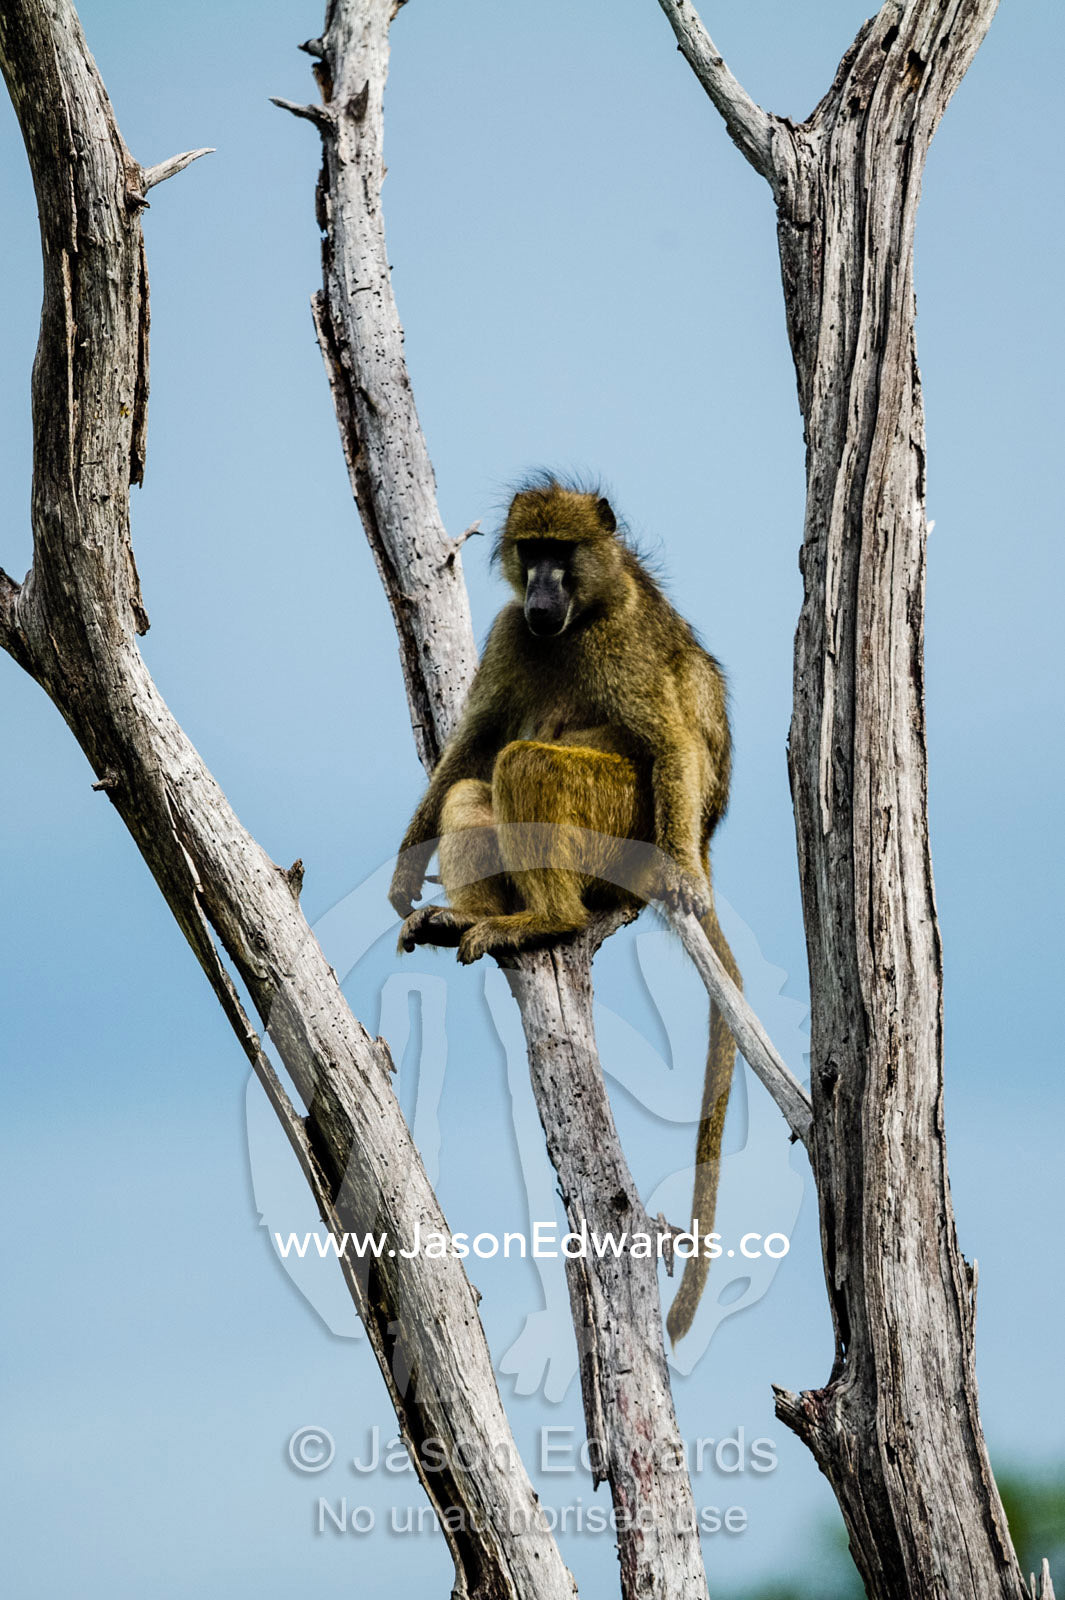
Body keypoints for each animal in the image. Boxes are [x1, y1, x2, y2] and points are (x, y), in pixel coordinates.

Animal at [387, 477, 741, 1343]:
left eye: (563, 553)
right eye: (531, 550)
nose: (543, 593)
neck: (576, 623)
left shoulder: (620, 647)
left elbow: (668, 744)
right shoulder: (510, 633)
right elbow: (470, 744)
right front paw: (407, 869)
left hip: (624, 836)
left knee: (531, 765)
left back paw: (550, 919)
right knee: (474, 787)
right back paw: (468, 919)